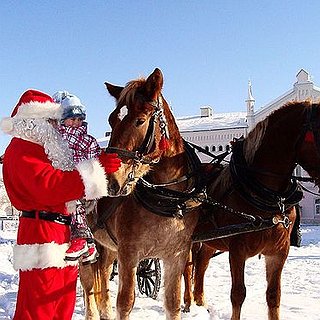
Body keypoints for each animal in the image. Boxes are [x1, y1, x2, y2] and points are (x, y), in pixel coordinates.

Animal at [80, 68, 205, 320]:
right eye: (111, 121)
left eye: (140, 120)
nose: (109, 181)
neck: (168, 201)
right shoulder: (129, 254)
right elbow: (125, 302)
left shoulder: (176, 256)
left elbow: (173, 302)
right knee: (88, 285)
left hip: (107, 248)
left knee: (102, 279)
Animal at [184, 100, 320, 320]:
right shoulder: (237, 251)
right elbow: (238, 294)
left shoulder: (278, 252)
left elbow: (274, 296)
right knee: (186, 270)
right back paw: (187, 302)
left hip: (210, 240)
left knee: (201, 264)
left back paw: (200, 301)